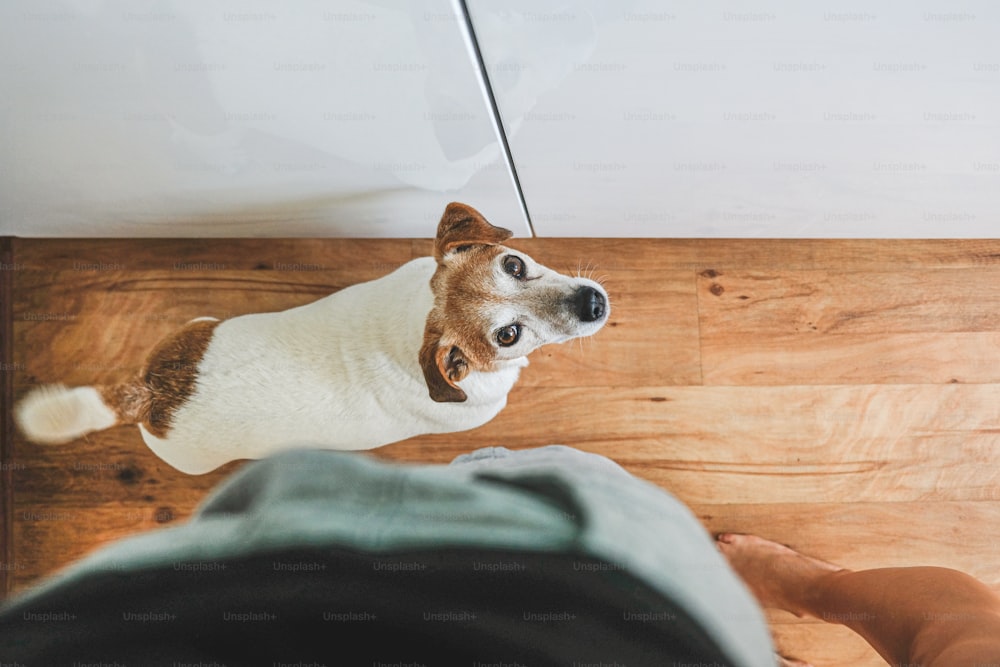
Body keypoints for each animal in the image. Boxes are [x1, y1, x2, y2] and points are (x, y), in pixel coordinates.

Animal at [15, 204, 608, 474]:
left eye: (514, 264)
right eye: (508, 335)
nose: (594, 304)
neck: (419, 319)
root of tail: (149, 395)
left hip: (196, 325)